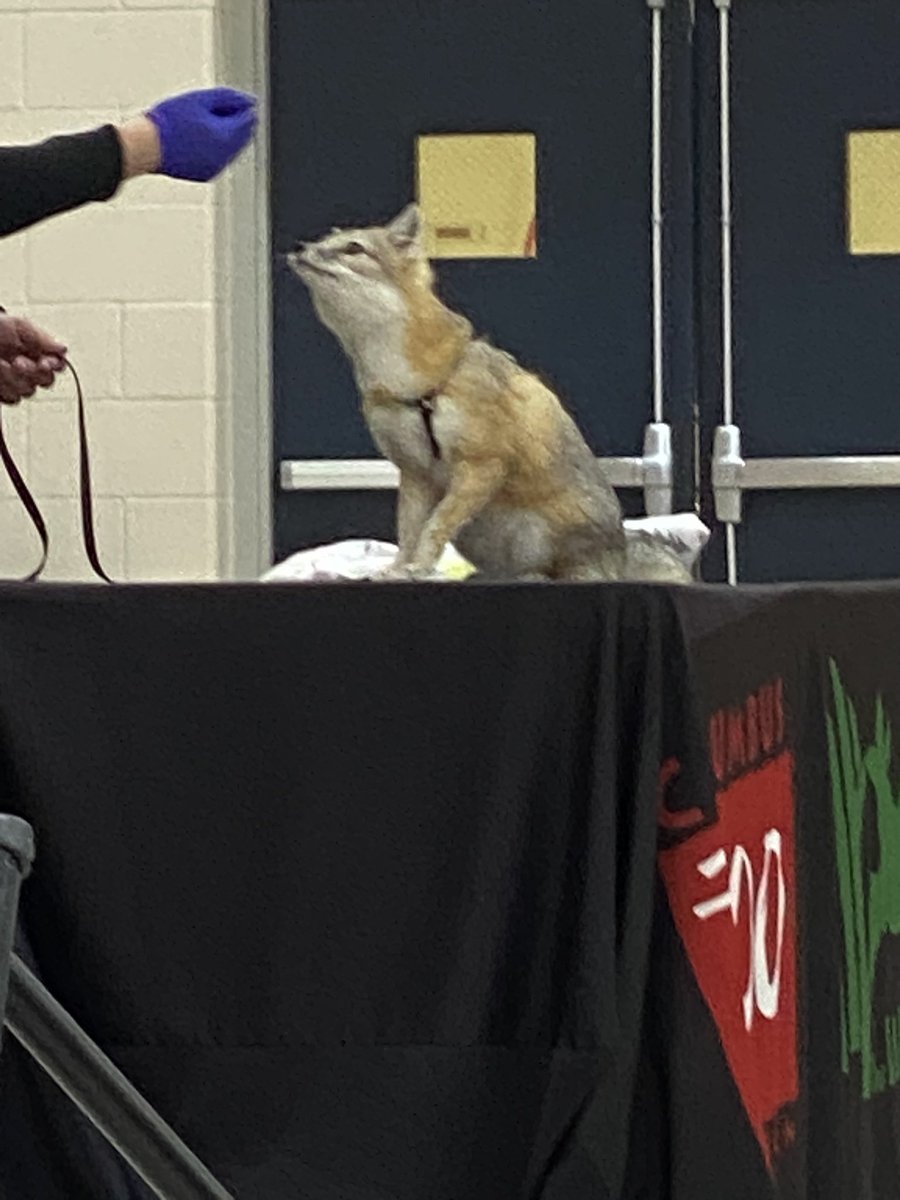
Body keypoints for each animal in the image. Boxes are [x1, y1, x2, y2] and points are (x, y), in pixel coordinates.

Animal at [288, 203, 691, 583]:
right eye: (323, 241)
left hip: (534, 533)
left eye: (353, 248)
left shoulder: (481, 463)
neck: (408, 381)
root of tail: (618, 556)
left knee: (561, 575)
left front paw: (418, 567)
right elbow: (408, 533)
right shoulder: (415, 472)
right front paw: (400, 569)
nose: (300, 248)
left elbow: (433, 527)